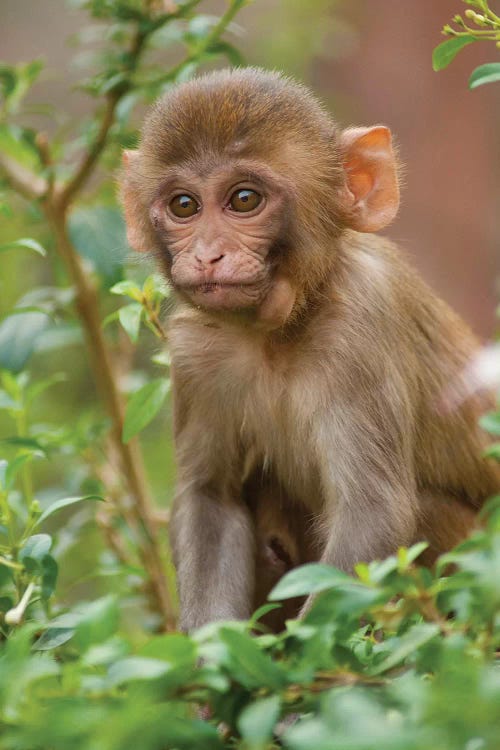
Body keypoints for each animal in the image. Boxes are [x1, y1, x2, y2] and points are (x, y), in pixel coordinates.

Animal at [121, 66, 500, 636]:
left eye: (244, 200)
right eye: (183, 206)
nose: (208, 255)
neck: (278, 331)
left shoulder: (361, 326)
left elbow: (372, 516)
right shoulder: (194, 352)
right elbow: (212, 498)